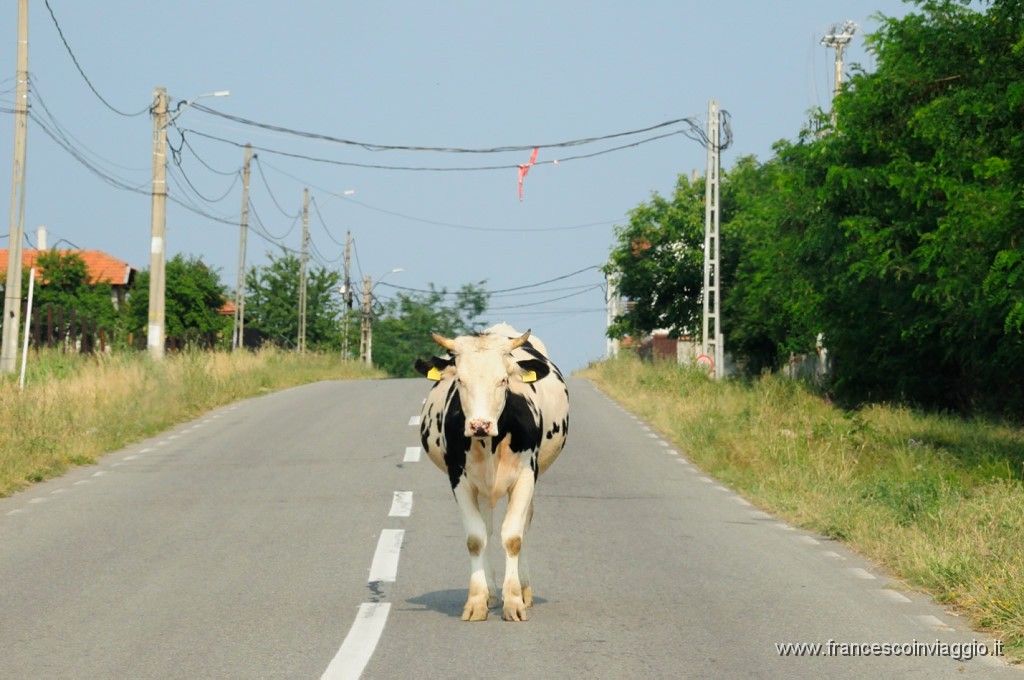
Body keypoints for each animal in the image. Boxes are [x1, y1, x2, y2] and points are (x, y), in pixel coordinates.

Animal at [413, 323, 573, 622]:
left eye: (502, 380)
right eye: (460, 381)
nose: (480, 424)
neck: (490, 443)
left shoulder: (525, 476)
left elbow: (513, 537)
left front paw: (514, 602)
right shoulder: (459, 480)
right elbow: (476, 539)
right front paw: (478, 601)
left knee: (523, 525)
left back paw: (524, 589)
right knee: (486, 528)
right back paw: (491, 593)